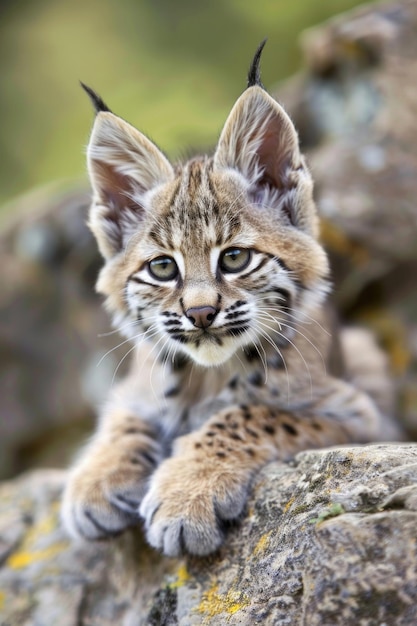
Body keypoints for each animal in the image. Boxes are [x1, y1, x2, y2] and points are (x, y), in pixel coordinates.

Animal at [63, 41, 386, 552]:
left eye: (234, 259)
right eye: (162, 267)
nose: (200, 313)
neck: (205, 375)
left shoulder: (359, 414)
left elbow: (251, 412)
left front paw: (186, 493)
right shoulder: (134, 384)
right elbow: (123, 419)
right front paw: (97, 479)